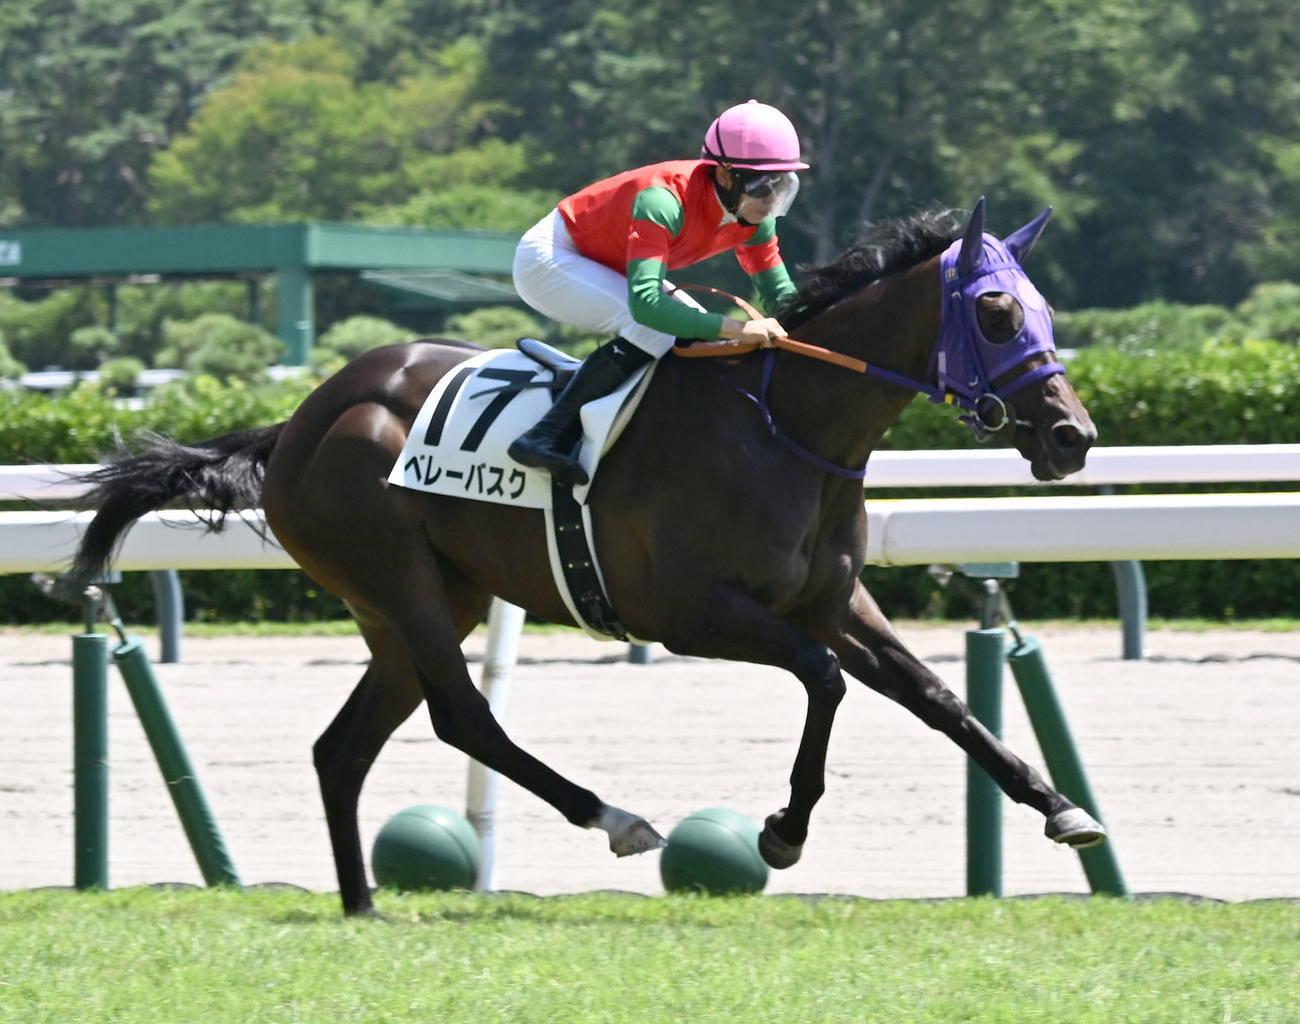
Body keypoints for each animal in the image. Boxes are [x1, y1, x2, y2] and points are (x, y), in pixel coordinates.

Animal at [61, 198, 1102, 915]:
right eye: (998, 314)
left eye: (1047, 309)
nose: (1073, 438)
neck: (785, 426)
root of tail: (303, 419)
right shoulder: (686, 613)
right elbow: (823, 680)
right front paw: (781, 833)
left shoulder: (830, 601)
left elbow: (936, 697)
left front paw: (1062, 807)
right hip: (397, 576)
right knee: (463, 717)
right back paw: (615, 820)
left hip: (414, 603)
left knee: (343, 747)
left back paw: (361, 905)